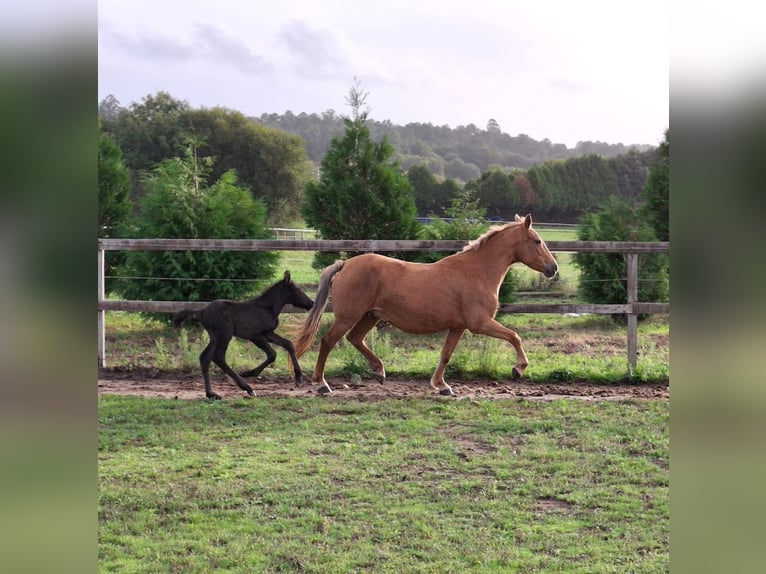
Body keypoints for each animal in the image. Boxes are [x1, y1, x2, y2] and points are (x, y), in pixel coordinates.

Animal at [173, 271, 314, 400]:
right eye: (298, 290)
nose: (311, 303)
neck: (267, 308)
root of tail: (201, 312)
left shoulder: (268, 333)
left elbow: (288, 344)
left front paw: (298, 378)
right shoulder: (255, 336)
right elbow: (272, 354)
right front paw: (249, 373)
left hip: (214, 338)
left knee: (205, 358)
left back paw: (212, 394)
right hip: (225, 335)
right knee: (218, 358)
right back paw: (248, 388)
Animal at [293, 214, 558, 396]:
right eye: (536, 241)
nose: (553, 268)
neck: (477, 271)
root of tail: (345, 265)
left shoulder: (458, 327)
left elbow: (446, 355)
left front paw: (441, 386)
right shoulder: (479, 323)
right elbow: (514, 336)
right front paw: (519, 368)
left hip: (371, 315)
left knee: (355, 338)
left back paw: (379, 372)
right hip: (349, 315)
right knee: (328, 341)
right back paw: (321, 384)